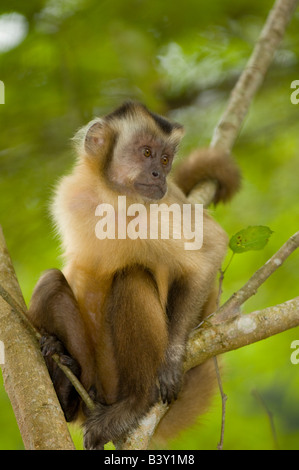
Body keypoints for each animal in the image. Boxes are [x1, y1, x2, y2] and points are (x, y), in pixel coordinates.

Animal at [27, 101, 240, 450]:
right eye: (146, 152)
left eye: (165, 160)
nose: (159, 174)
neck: (111, 197)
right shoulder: (70, 194)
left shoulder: (163, 205)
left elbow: (211, 249)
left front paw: (172, 358)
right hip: (96, 374)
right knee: (50, 282)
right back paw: (68, 388)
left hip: (117, 378)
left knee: (132, 277)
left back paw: (134, 403)